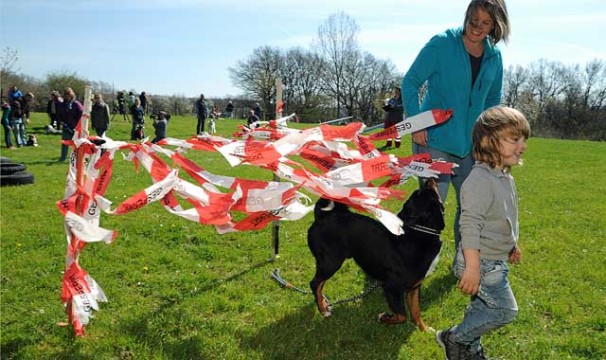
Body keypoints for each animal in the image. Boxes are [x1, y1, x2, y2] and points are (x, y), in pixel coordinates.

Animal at [308, 178, 446, 332]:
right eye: (425, 192)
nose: (429, 180)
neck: (417, 233)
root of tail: (323, 217)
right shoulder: (391, 287)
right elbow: (401, 315)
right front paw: (384, 318)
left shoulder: (414, 288)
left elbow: (416, 311)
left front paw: (424, 330)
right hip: (330, 261)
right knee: (315, 284)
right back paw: (323, 309)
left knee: (319, 285)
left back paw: (324, 305)